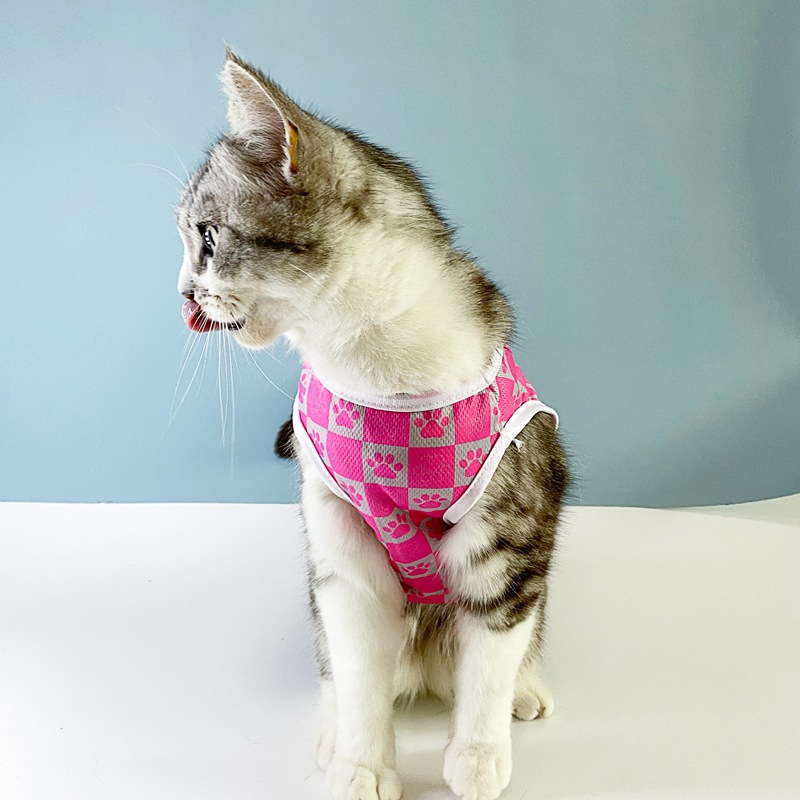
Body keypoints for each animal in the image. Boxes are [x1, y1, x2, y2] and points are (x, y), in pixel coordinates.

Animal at [176, 49, 569, 800]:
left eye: (207, 238)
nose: (183, 292)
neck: (376, 368)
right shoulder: (340, 542)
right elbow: (358, 661)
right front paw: (362, 763)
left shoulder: (511, 528)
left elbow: (492, 649)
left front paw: (478, 755)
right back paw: (335, 728)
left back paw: (526, 690)